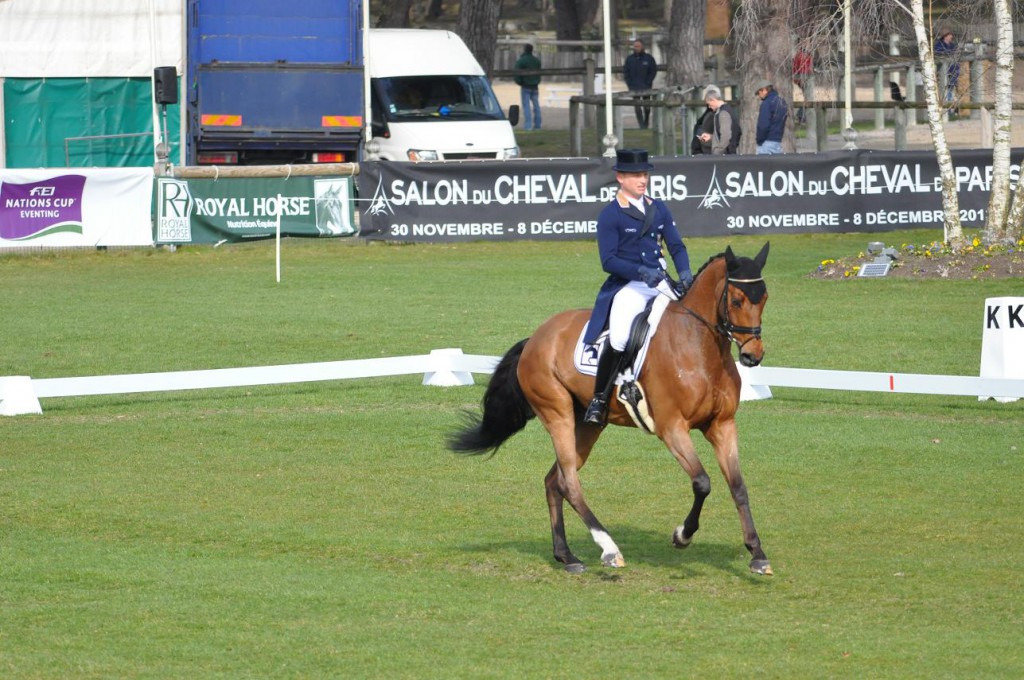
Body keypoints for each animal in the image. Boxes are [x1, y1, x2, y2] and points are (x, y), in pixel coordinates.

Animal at [448, 242, 770, 573]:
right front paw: (683, 535)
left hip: (588, 425)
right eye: (736, 300)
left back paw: (566, 556)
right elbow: (702, 483)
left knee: (554, 481)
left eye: (764, 298)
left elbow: (738, 485)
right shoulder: (672, 428)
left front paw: (757, 554)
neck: (699, 347)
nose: (753, 356)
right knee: (568, 482)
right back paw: (609, 549)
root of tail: (535, 337)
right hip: (557, 414)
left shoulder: (722, 425)